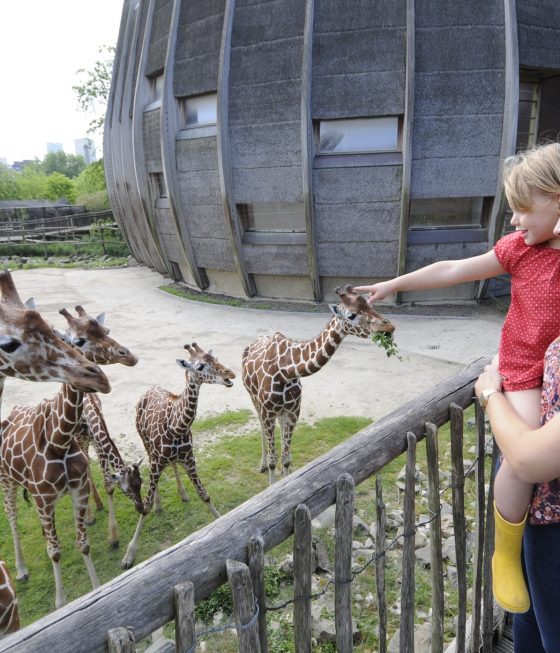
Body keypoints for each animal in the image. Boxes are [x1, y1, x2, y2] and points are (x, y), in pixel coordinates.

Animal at [0, 268, 110, 632]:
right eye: (8, 343)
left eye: (52, 328)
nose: (97, 378)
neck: (57, 442)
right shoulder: (42, 497)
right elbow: (55, 552)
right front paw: (61, 604)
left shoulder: (74, 490)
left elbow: (80, 543)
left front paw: (96, 589)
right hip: (7, 481)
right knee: (13, 517)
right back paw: (20, 569)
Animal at [76, 392, 144, 552]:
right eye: (127, 489)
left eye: (141, 483)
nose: (141, 508)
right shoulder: (81, 439)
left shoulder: (98, 443)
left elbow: (109, 486)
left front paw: (113, 538)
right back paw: (89, 515)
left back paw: (99, 503)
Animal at [121, 344, 235, 568]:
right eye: (200, 366)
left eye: (215, 358)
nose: (230, 374)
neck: (176, 428)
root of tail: (148, 389)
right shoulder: (158, 461)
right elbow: (145, 507)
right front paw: (129, 555)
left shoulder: (190, 459)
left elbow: (204, 494)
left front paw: (221, 522)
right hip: (146, 444)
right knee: (152, 475)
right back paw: (159, 505)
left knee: (173, 464)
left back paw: (182, 494)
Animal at [243, 286, 396, 484]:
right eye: (352, 315)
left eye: (372, 306)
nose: (388, 326)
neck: (286, 371)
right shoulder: (268, 412)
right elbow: (273, 460)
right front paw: (273, 484)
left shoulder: (294, 411)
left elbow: (286, 458)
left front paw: (286, 479)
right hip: (255, 400)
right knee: (261, 427)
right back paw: (261, 465)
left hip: (281, 411)